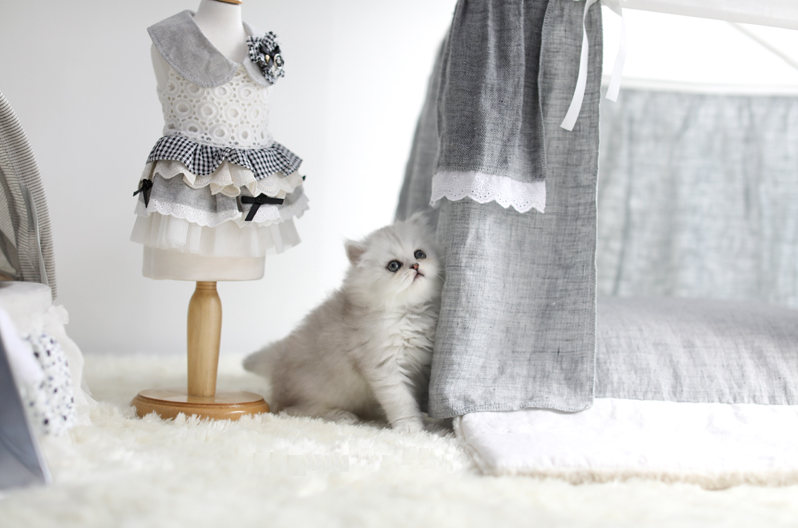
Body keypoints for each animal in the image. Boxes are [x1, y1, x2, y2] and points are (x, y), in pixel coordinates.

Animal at [243, 213, 442, 433]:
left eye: (419, 254)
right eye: (393, 266)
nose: (415, 266)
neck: (409, 312)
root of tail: (278, 363)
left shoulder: (418, 369)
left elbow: (410, 398)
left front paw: (424, 422)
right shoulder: (385, 367)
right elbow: (401, 401)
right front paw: (410, 427)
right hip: (321, 391)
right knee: (291, 410)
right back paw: (342, 416)